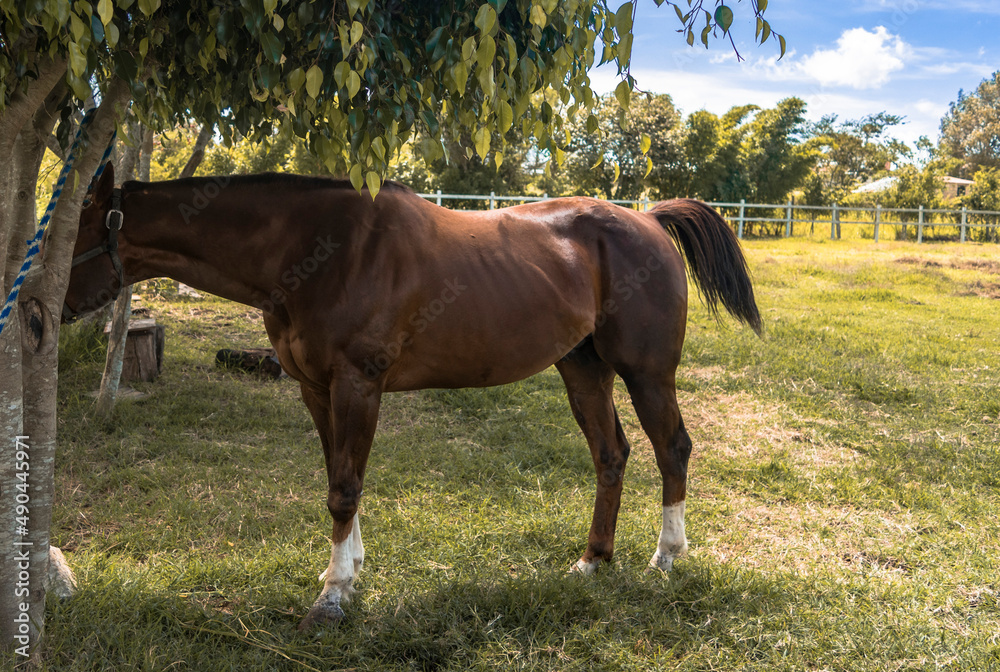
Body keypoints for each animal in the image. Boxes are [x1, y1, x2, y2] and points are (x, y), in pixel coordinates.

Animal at [64, 164, 761, 630]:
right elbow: (338, 478)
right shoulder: (316, 389)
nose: (55, 310)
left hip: (646, 372)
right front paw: (347, 572)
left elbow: (344, 487)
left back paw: (666, 557)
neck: (317, 249)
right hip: (582, 368)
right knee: (610, 455)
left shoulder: (358, 383)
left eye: (74, 230)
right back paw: (592, 562)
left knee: (672, 449)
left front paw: (333, 597)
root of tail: (647, 219)